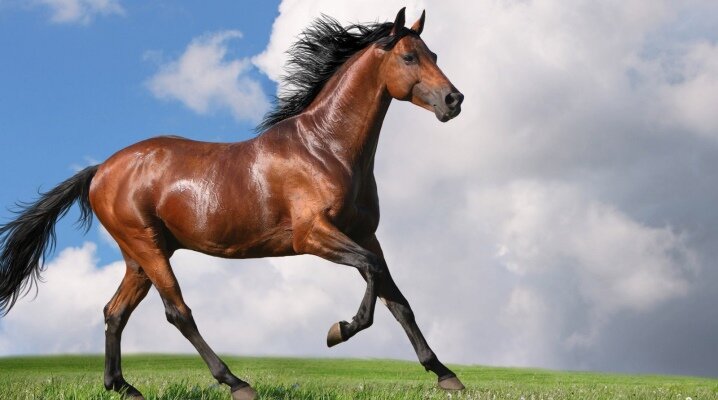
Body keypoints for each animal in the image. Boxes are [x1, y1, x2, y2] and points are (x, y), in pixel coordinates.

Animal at [0, 8, 464, 400]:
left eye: (434, 54)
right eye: (409, 56)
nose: (453, 100)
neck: (325, 149)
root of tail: (101, 170)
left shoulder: (367, 235)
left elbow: (398, 300)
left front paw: (445, 375)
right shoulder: (312, 235)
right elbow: (370, 275)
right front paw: (339, 330)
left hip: (141, 255)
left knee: (115, 312)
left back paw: (123, 387)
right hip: (147, 247)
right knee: (177, 312)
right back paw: (236, 382)